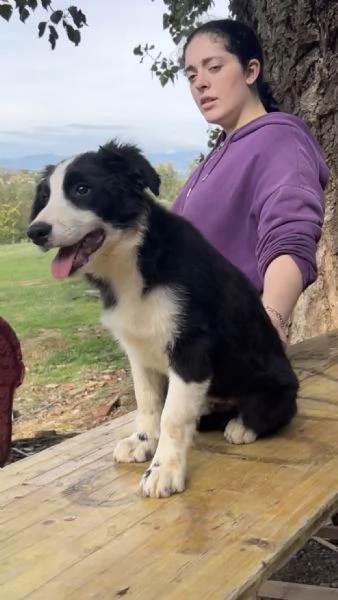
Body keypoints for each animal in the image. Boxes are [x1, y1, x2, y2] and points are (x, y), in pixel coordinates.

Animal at [27, 139, 300, 496]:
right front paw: (143, 442)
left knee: (270, 412)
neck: (134, 260)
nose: (35, 232)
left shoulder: (190, 351)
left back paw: (241, 426)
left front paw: (165, 470)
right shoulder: (139, 349)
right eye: (45, 196)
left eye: (82, 189)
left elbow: (172, 416)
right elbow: (148, 403)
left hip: (273, 387)